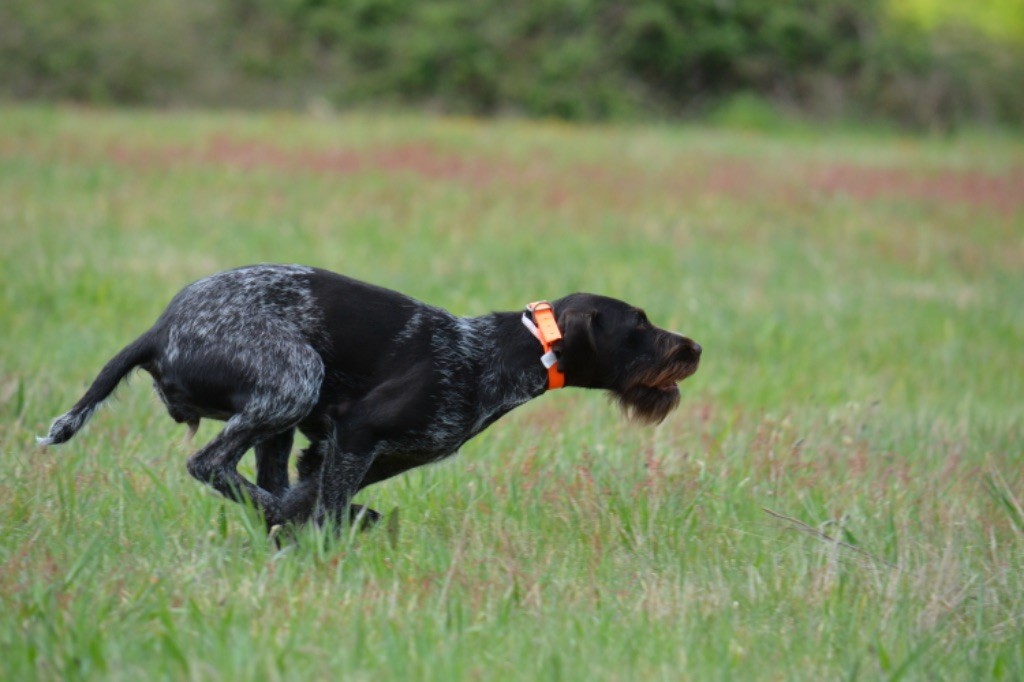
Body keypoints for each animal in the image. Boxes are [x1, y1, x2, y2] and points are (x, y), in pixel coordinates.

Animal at [37, 264, 696, 524]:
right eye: (639, 324)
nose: (695, 347)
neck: (493, 354)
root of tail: (158, 330)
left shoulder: (350, 452)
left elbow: (316, 496)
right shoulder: (356, 433)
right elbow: (322, 509)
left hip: (281, 415)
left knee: (256, 478)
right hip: (294, 378)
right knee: (210, 464)